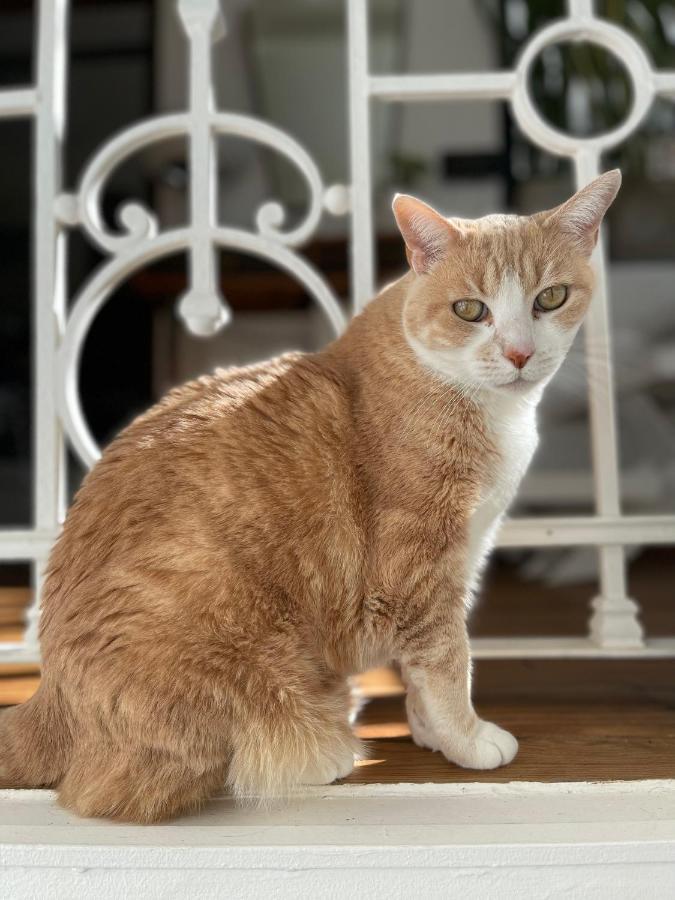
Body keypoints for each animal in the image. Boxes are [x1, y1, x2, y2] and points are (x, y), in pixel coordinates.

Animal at [0, 165, 624, 820]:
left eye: (549, 298)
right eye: (470, 310)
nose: (520, 353)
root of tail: (49, 698)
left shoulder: (462, 555)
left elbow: (422, 672)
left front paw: (429, 731)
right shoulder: (421, 569)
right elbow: (447, 661)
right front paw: (467, 738)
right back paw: (325, 750)